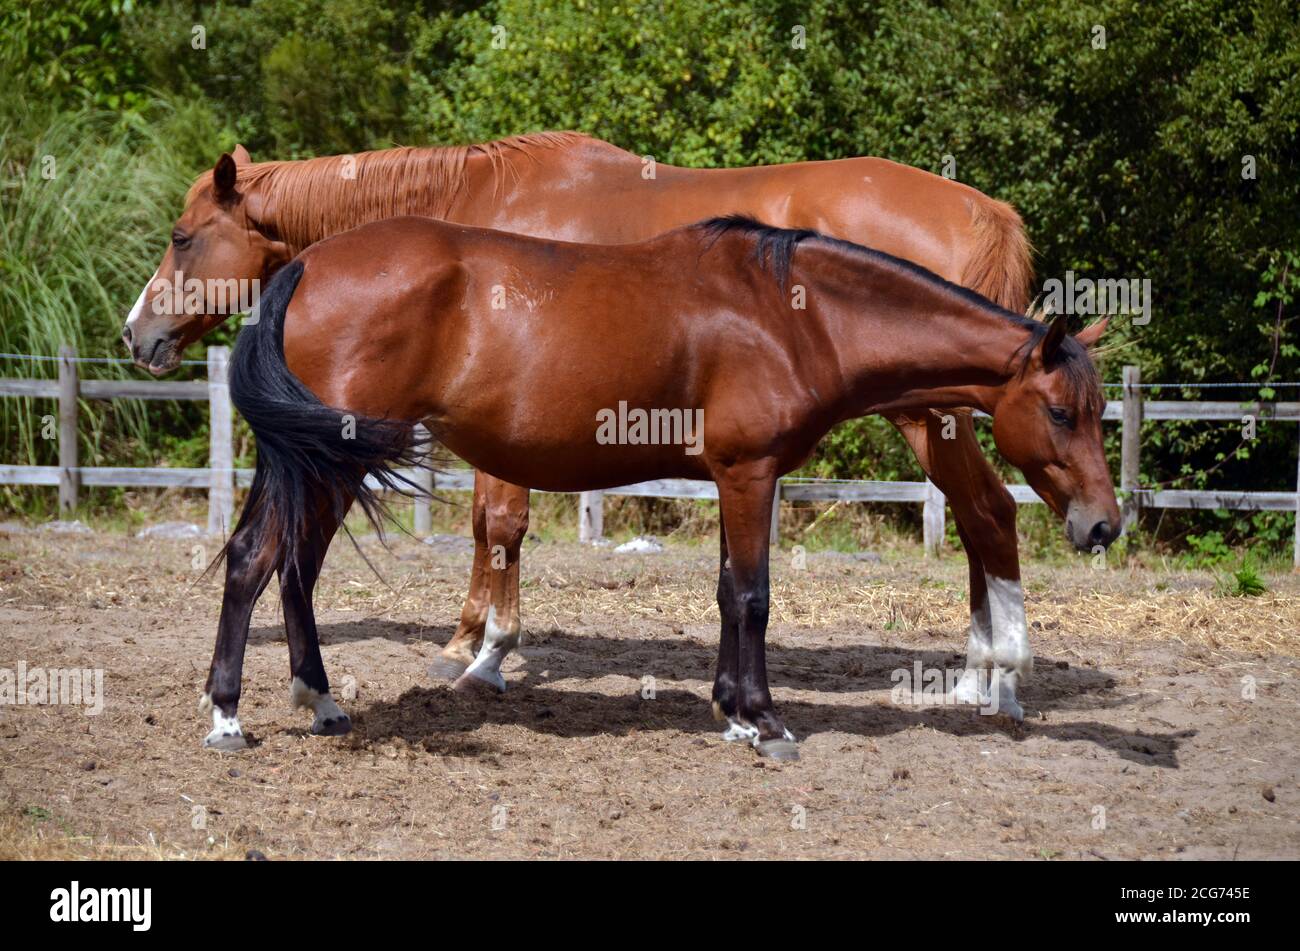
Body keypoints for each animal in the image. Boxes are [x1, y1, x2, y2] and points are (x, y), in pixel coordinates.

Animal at [121, 134, 1039, 720]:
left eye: (182, 236)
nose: (136, 334)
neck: (474, 207)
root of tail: (981, 208)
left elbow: (499, 524)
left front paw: (480, 651)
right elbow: (492, 528)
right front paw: (471, 642)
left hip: (932, 414)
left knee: (989, 513)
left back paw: (995, 679)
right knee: (980, 517)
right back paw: (977, 677)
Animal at [202, 213, 1117, 760]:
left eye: (1096, 408)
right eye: (1061, 410)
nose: (1104, 526)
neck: (795, 316)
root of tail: (305, 267)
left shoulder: (733, 477)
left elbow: (725, 593)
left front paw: (730, 710)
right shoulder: (749, 474)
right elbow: (753, 595)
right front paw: (765, 720)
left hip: (320, 463)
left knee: (290, 566)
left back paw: (319, 700)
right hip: (329, 459)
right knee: (255, 560)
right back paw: (227, 717)